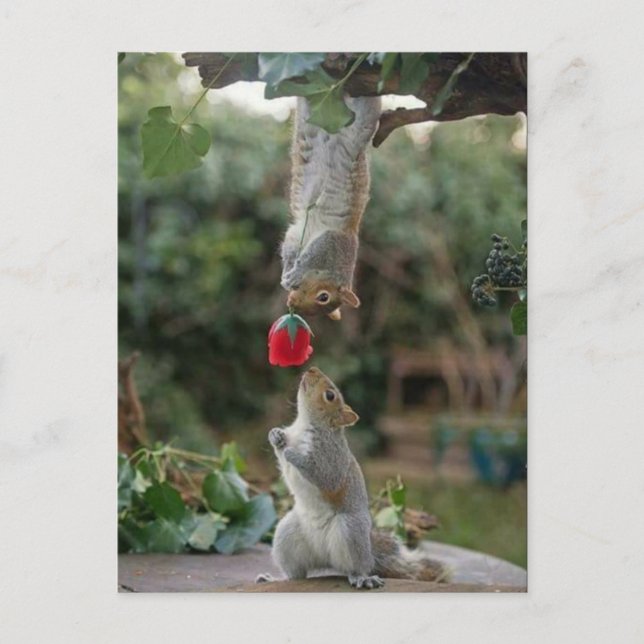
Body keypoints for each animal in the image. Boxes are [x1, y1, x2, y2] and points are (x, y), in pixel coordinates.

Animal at [257, 366, 447, 589]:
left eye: (330, 396)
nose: (312, 369)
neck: (305, 424)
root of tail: (326, 559)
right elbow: (282, 456)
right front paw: (275, 435)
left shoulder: (331, 458)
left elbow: (324, 476)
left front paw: (292, 453)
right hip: (286, 535)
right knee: (297, 575)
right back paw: (275, 578)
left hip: (350, 531)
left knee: (355, 567)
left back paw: (362, 578)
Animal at [280, 96, 381, 321]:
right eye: (323, 296)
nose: (292, 303)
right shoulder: (335, 241)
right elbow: (310, 255)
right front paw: (292, 273)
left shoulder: (298, 233)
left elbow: (291, 248)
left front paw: (289, 274)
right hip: (365, 120)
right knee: (368, 106)